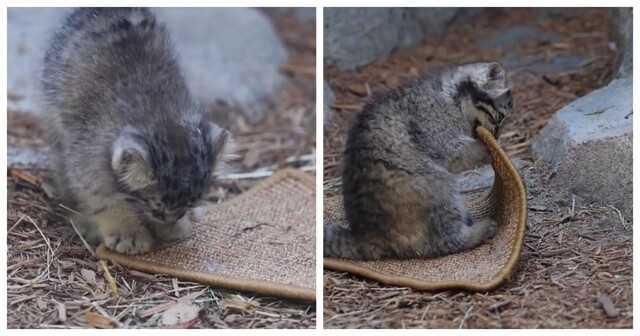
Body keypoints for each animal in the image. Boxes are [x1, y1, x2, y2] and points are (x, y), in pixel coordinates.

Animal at [40, 7, 230, 255]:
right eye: (156, 208)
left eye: (187, 204)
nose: (168, 219)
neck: (161, 112)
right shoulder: (86, 159)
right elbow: (104, 198)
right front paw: (127, 232)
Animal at [322, 61, 512, 260]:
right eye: (499, 118)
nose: (496, 137)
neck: (452, 96)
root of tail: (368, 235)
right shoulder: (437, 136)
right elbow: (459, 153)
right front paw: (487, 150)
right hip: (433, 185)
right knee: (446, 241)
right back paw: (477, 232)